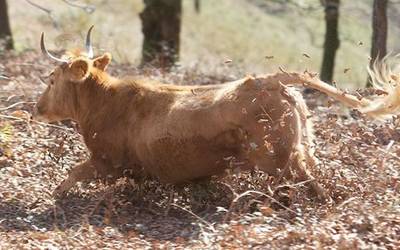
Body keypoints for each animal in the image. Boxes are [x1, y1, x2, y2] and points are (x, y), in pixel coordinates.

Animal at [33, 27, 390, 200]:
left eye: (51, 79)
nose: (36, 109)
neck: (106, 102)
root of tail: (269, 79)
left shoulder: (106, 162)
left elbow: (72, 174)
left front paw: (54, 196)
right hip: (304, 149)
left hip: (280, 162)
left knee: (308, 187)